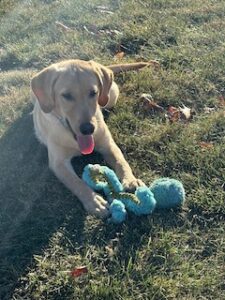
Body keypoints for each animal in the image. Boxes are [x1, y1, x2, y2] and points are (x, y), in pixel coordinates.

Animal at [30, 59, 149, 218]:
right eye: (66, 95)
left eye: (93, 93)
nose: (88, 129)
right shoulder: (59, 163)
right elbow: (77, 183)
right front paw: (94, 201)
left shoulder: (108, 145)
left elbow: (121, 162)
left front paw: (130, 180)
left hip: (111, 96)